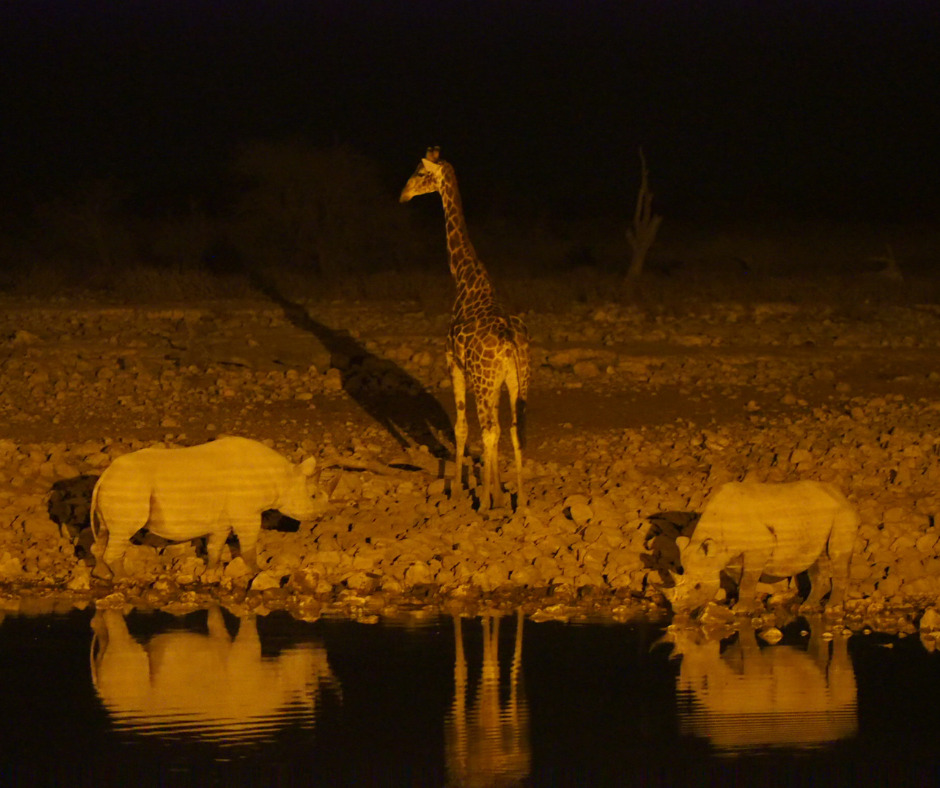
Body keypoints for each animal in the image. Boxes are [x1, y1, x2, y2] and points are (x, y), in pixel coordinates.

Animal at [91, 437, 330, 580]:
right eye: (313, 495)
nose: (321, 515)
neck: (284, 476)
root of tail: (105, 475)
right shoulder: (248, 514)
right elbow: (249, 545)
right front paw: (258, 571)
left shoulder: (221, 519)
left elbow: (216, 546)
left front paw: (211, 573)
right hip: (129, 486)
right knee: (122, 532)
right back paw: (126, 579)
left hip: (117, 486)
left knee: (104, 532)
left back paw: (103, 575)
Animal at [400, 147, 530, 511]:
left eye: (419, 173)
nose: (403, 195)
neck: (465, 278)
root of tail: (510, 342)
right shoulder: (494, 380)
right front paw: (498, 492)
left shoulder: (454, 364)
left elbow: (461, 428)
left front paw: (460, 492)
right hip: (519, 379)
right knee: (515, 429)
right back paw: (522, 501)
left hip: (486, 379)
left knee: (490, 430)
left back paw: (484, 504)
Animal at [664, 481, 860, 614]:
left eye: (697, 586)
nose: (678, 610)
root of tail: (839, 493)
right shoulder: (730, 554)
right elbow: (740, 579)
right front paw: (750, 604)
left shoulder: (760, 547)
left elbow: (748, 579)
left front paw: (740, 610)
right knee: (818, 557)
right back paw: (808, 607)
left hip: (841, 513)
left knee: (836, 554)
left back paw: (831, 608)